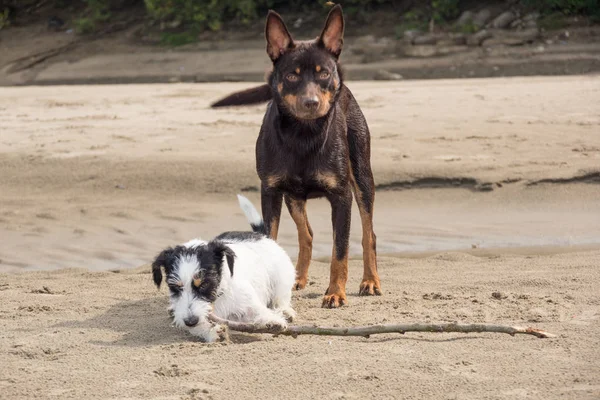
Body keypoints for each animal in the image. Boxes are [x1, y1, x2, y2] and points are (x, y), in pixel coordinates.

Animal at [152, 195, 296, 342]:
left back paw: (285, 311)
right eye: (175, 287)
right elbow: (201, 326)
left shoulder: (248, 302)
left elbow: (259, 310)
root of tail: (261, 235)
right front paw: (213, 331)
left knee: (281, 298)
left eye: (204, 284)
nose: (190, 321)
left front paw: (272, 321)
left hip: (282, 279)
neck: (219, 295)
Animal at [209, 4, 382, 308]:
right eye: (291, 76)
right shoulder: (271, 192)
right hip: (293, 197)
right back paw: (297, 277)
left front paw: (335, 292)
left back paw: (370, 281)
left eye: (323, 74)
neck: (303, 134)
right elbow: (270, 240)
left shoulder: (341, 197)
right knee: (307, 235)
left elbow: (340, 251)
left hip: (362, 180)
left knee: (368, 233)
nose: (310, 102)